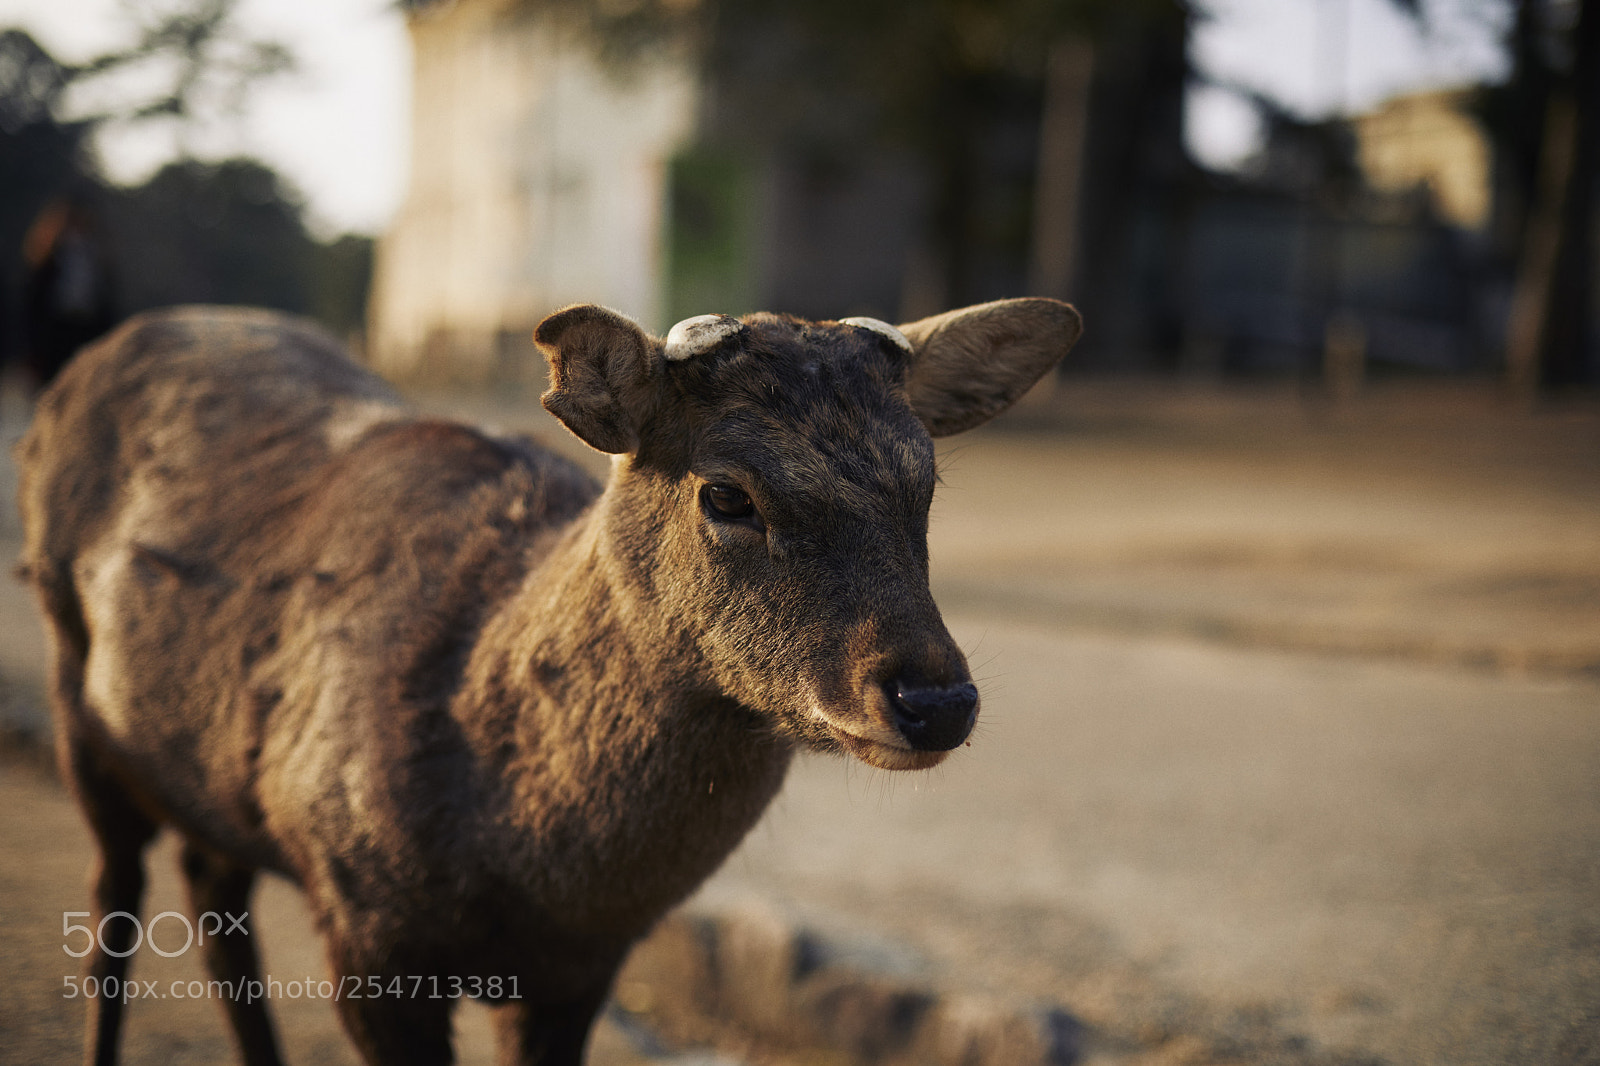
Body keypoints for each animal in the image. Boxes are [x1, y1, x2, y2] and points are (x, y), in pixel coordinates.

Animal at [17, 296, 1081, 1066]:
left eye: (925, 484)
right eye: (726, 493)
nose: (935, 700)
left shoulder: (579, 968)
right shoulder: (363, 920)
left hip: (208, 765)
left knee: (212, 889)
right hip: (74, 690)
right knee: (114, 905)